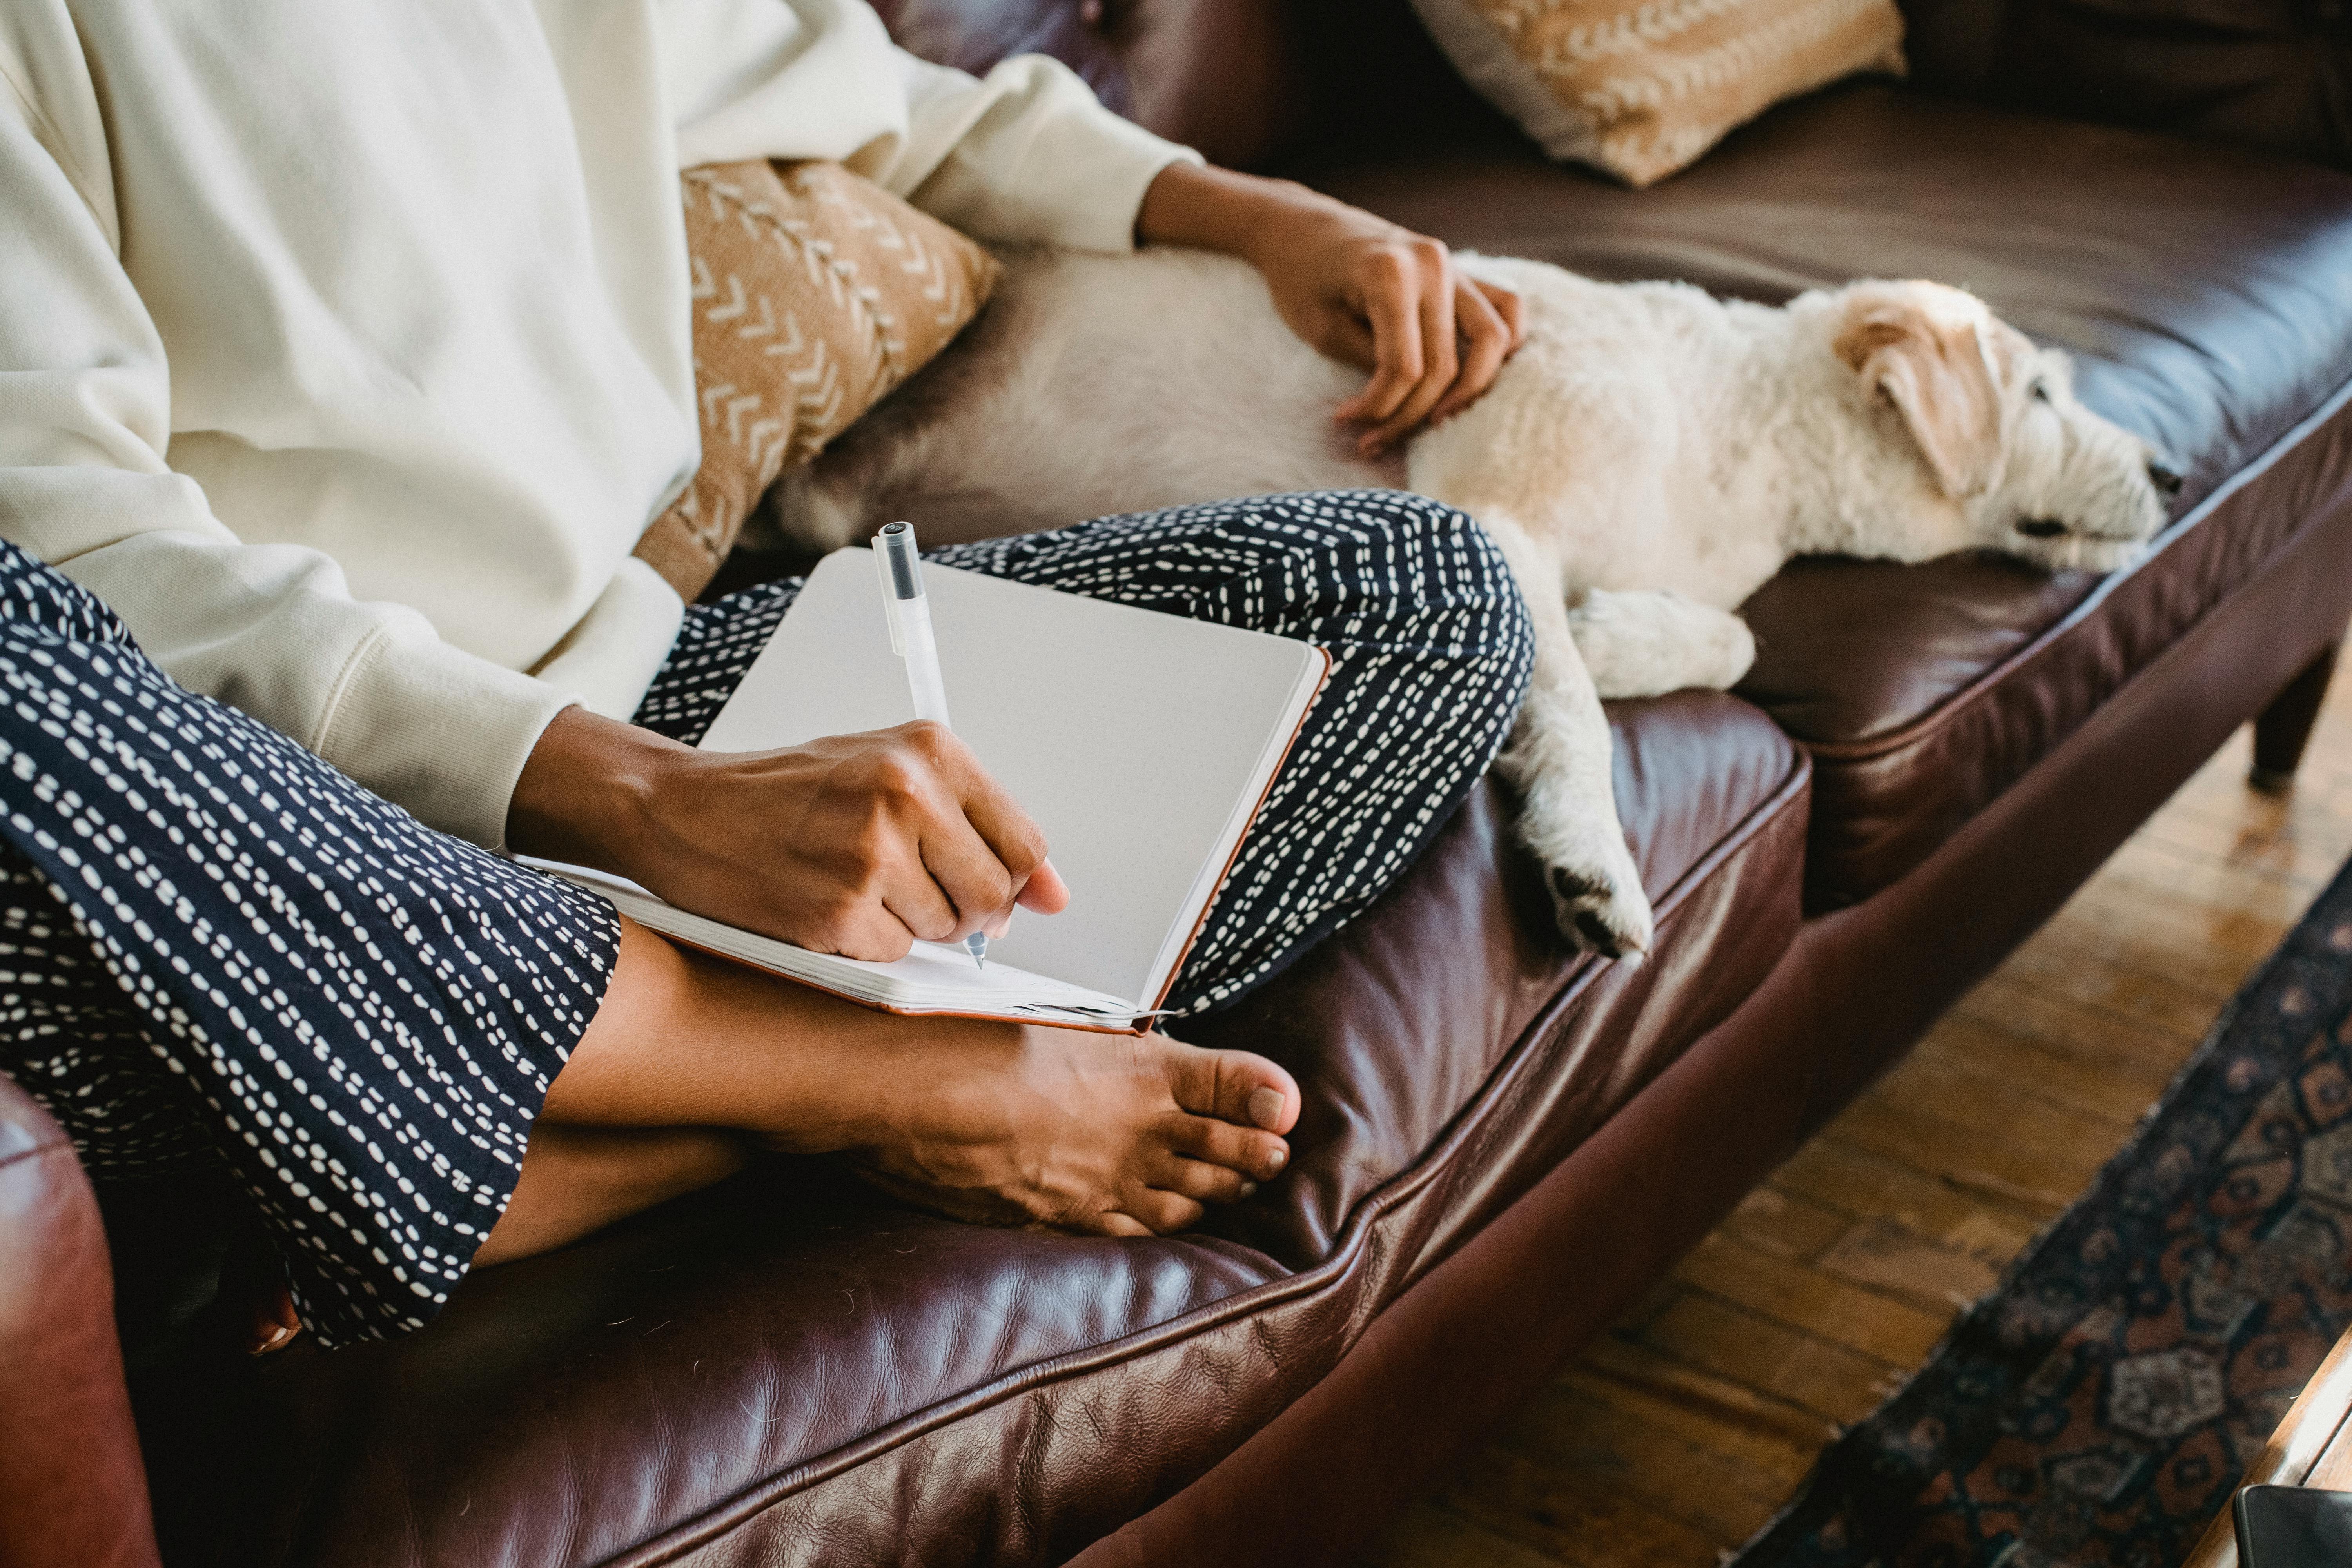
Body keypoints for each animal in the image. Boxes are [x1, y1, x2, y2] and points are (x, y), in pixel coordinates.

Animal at [781, 248, 2173, 959]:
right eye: (2039, 396)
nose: (2170, 471)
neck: (1737, 433)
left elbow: (1728, 638)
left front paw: (1617, 635)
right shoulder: (1500, 520)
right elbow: (1578, 717)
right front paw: (1592, 857)